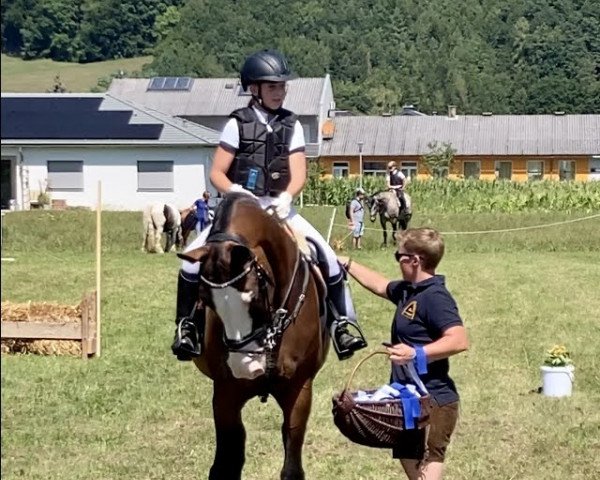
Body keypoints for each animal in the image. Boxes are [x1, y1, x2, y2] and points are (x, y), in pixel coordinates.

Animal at [178, 193, 328, 478]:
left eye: (255, 295)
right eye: (205, 301)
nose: (244, 367)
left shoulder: (300, 389)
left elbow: (292, 466)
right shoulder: (225, 392)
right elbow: (225, 465)